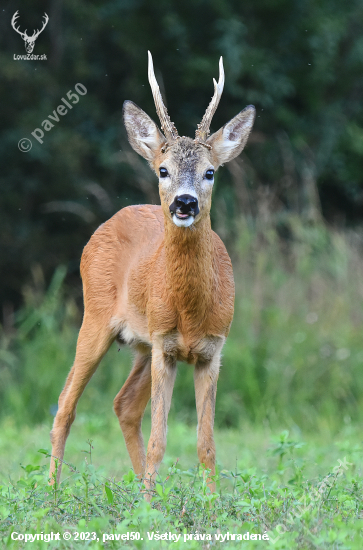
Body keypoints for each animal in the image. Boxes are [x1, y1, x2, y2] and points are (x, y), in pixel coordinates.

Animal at [49, 50, 256, 496]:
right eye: (163, 169)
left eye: (211, 171)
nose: (184, 202)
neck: (191, 311)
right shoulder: (166, 345)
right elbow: (161, 439)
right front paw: (150, 502)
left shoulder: (210, 349)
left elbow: (206, 444)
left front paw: (211, 505)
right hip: (96, 318)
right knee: (65, 405)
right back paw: (52, 493)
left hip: (142, 344)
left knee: (123, 405)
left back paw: (145, 491)